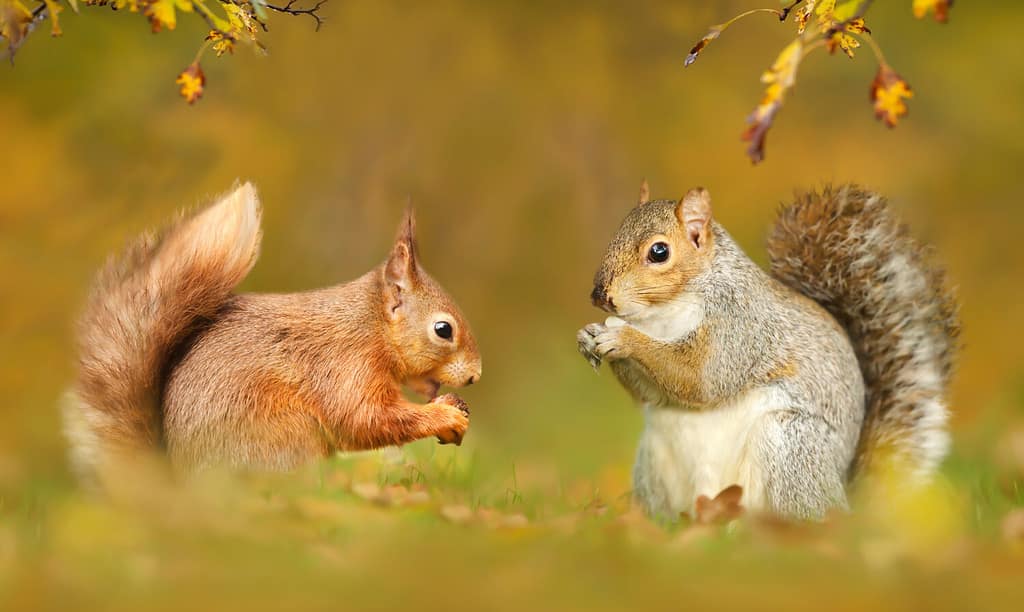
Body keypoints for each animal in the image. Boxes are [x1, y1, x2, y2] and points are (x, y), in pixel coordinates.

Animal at [61, 182, 481, 485]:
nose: (476, 375)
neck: (370, 326)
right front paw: (445, 416)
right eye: (443, 330)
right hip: (286, 435)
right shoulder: (345, 365)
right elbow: (366, 418)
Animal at [577, 182, 958, 521]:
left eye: (659, 252)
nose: (599, 295)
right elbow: (652, 394)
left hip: (789, 446)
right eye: (616, 233)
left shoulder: (741, 327)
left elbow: (701, 378)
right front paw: (589, 335)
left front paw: (623, 338)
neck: (661, 316)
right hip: (652, 462)